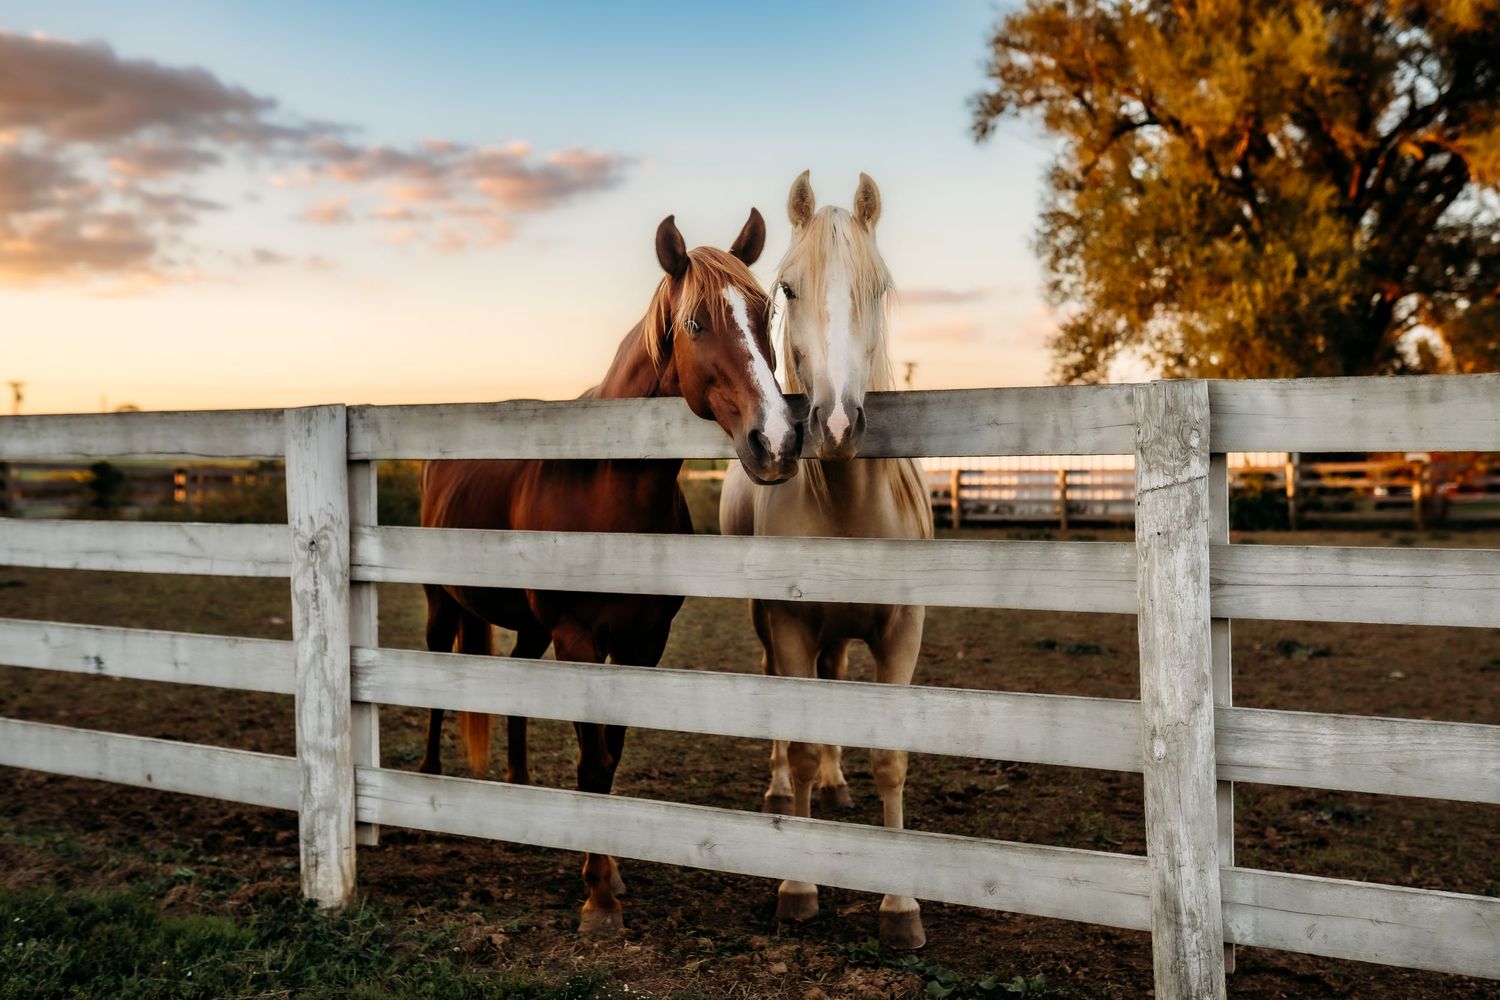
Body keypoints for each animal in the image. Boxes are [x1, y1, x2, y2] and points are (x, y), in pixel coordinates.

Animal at [419, 209, 800, 935]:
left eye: (766, 313)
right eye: (696, 322)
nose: (778, 441)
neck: (606, 485)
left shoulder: (641, 643)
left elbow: (614, 752)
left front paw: (611, 872)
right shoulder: (579, 639)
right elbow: (594, 760)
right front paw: (597, 898)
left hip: (530, 627)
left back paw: (517, 788)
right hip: (442, 604)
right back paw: (426, 781)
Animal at [719, 172, 934, 949]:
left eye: (879, 287)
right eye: (788, 289)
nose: (837, 425)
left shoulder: (902, 628)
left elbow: (889, 756)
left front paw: (901, 907)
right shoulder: (789, 622)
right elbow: (807, 741)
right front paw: (799, 887)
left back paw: (837, 788)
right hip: (765, 620)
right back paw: (784, 788)